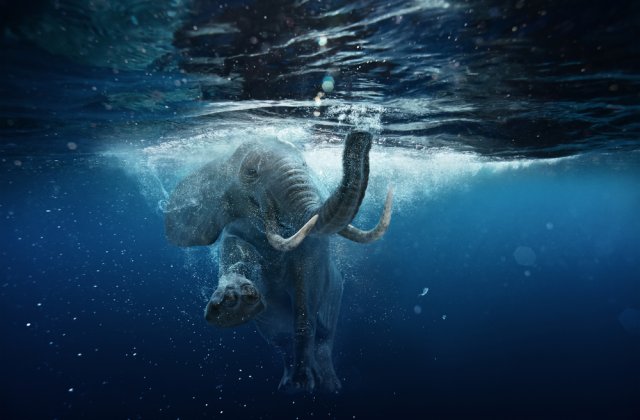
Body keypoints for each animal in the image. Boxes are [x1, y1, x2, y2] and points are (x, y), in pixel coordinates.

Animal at [163, 131, 392, 392]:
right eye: (251, 172)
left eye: (304, 164)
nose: (360, 137)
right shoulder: (235, 229)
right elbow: (234, 255)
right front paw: (232, 305)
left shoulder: (313, 255)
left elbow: (306, 304)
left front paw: (304, 382)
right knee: (280, 339)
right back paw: (287, 385)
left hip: (335, 294)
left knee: (325, 337)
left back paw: (327, 385)